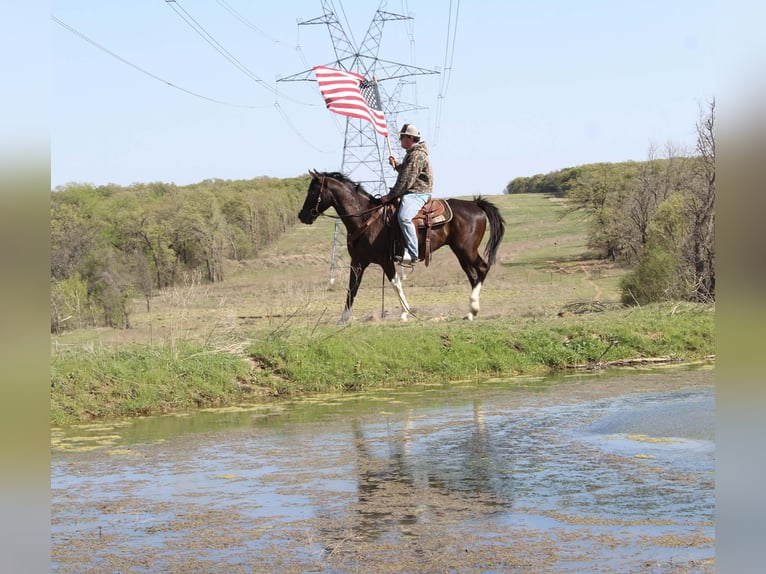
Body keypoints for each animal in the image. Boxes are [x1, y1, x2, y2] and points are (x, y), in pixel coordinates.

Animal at [298, 170, 505, 324]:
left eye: (312, 192)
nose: (302, 216)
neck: (365, 218)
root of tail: (476, 204)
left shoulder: (386, 261)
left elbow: (395, 283)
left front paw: (405, 313)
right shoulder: (357, 262)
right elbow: (352, 288)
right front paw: (343, 318)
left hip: (467, 250)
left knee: (482, 268)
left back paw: (473, 309)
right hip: (461, 252)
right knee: (473, 274)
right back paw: (470, 312)